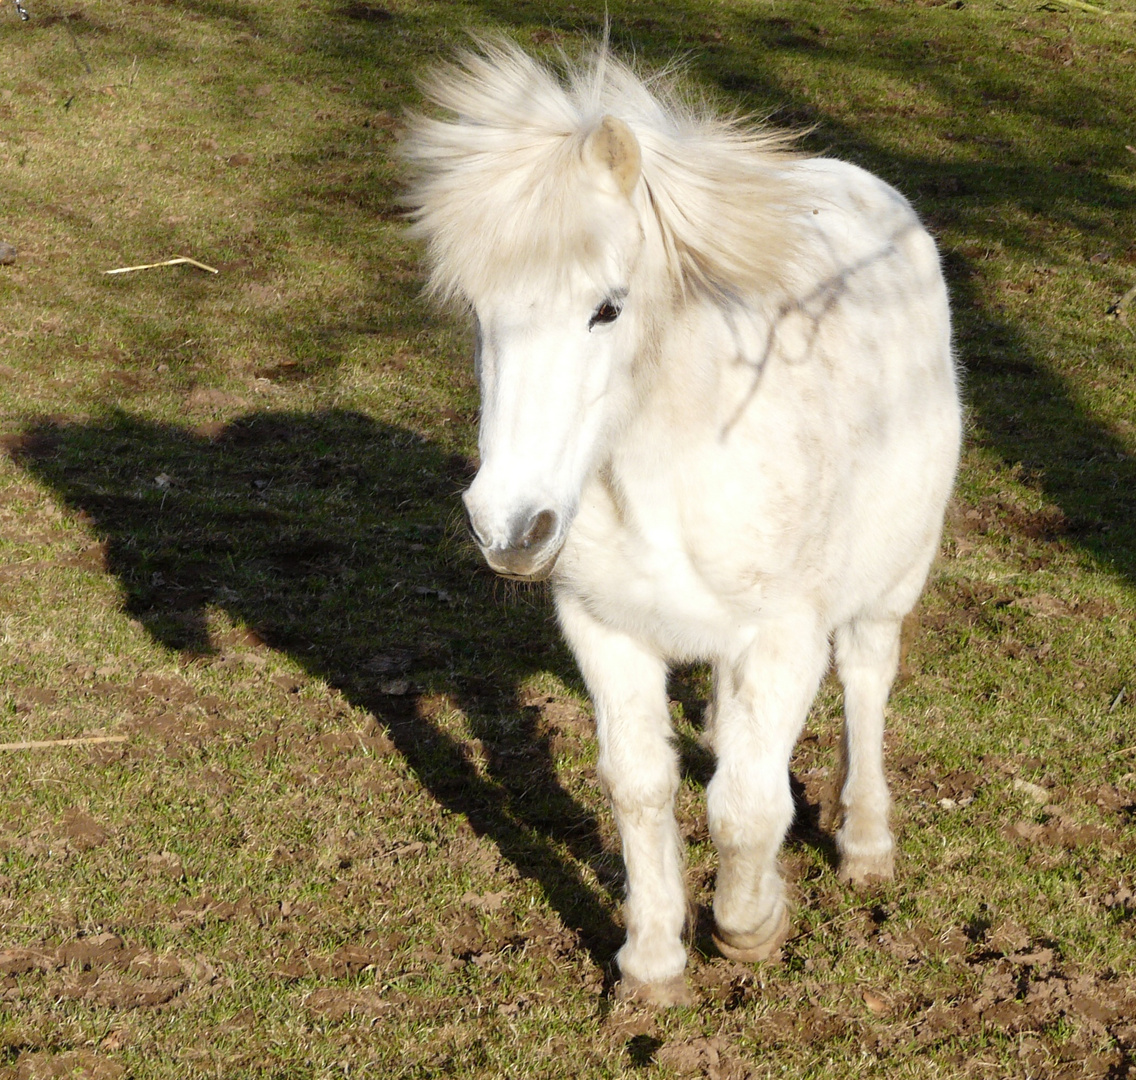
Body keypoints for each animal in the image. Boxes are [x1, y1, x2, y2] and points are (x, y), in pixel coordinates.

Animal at [404, 40, 963, 1003]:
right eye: (477, 310)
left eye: (607, 306)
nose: (509, 528)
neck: (660, 477)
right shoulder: (603, 630)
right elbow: (640, 786)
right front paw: (653, 962)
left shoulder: (782, 637)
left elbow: (744, 806)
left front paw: (749, 925)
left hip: (889, 579)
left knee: (865, 682)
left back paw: (864, 842)